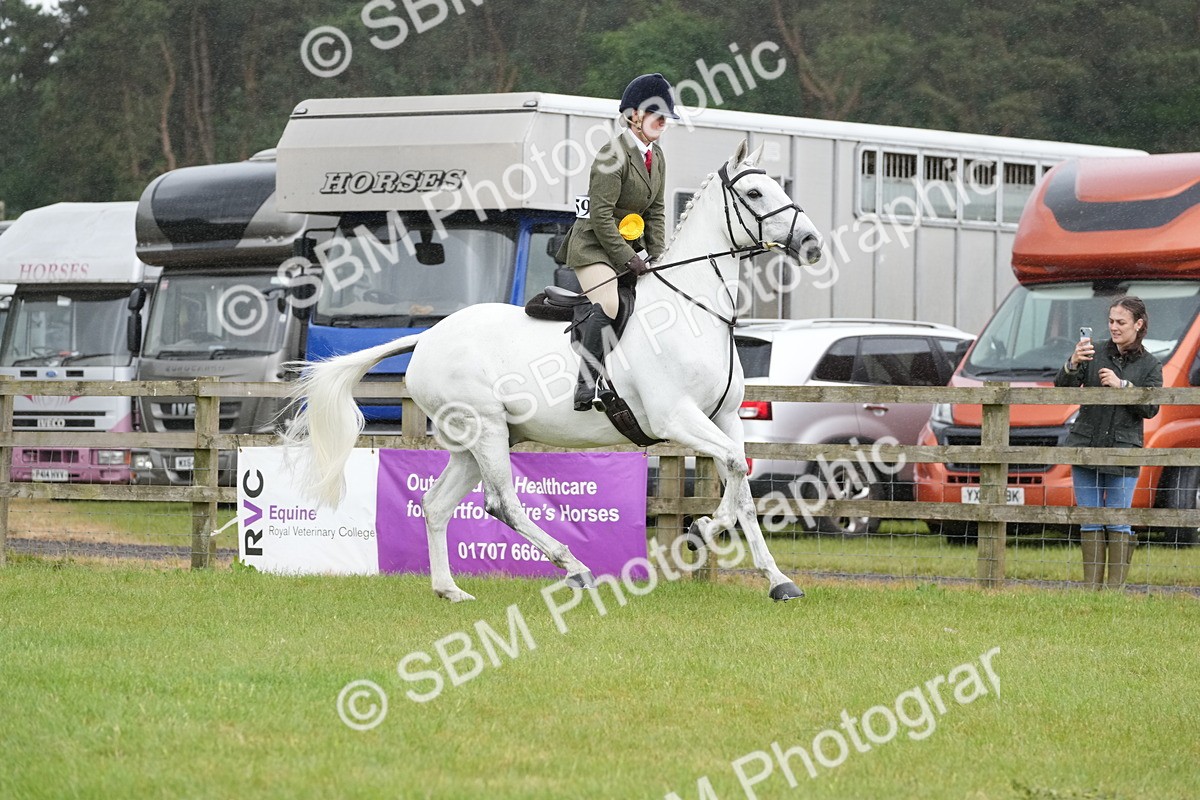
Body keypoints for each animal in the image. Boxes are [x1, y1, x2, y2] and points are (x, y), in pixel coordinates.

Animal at [285, 139, 824, 602]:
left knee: (436, 504)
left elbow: (743, 484)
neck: (692, 307)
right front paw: (701, 530)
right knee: (502, 503)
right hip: (487, 431)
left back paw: (450, 589)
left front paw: (775, 578)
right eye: (754, 193)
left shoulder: (726, 418)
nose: (812, 243)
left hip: (475, 440)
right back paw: (576, 569)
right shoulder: (675, 418)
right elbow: (733, 467)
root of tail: (429, 337)